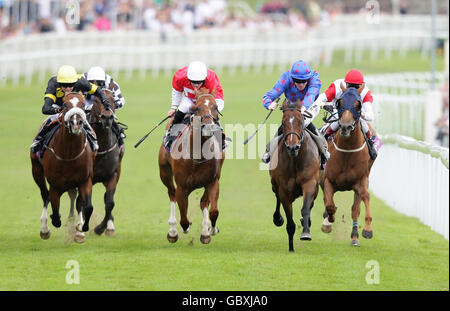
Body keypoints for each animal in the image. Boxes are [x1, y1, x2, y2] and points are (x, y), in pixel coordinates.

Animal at [30, 92, 96, 244]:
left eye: (83, 104)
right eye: (65, 104)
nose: (76, 123)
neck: (69, 153)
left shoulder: (85, 180)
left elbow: (87, 206)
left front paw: (82, 228)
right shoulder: (55, 184)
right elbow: (55, 212)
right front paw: (53, 221)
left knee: (78, 201)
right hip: (36, 170)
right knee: (45, 195)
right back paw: (44, 229)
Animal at [160, 86, 227, 245]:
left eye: (215, 107)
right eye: (196, 108)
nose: (209, 127)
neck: (197, 155)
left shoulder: (212, 181)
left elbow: (213, 211)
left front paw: (210, 230)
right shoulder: (182, 186)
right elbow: (184, 218)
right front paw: (184, 228)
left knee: (203, 203)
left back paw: (205, 231)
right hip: (164, 173)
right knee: (171, 194)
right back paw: (172, 232)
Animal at [268, 100, 322, 254]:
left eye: (301, 121)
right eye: (283, 122)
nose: (293, 147)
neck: (295, 160)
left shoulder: (310, 183)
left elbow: (306, 208)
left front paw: (306, 232)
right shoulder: (284, 190)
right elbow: (290, 221)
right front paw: (291, 248)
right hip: (274, 185)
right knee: (277, 198)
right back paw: (277, 218)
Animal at [320, 84, 376, 247]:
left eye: (359, 105)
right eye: (339, 103)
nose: (345, 127)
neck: (348, 151)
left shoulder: (361, 181)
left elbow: (364, 199)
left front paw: (367, 229)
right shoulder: (327, 180)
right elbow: (329, 205)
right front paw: (328, 221)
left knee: (355, 209)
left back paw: (355, 237)